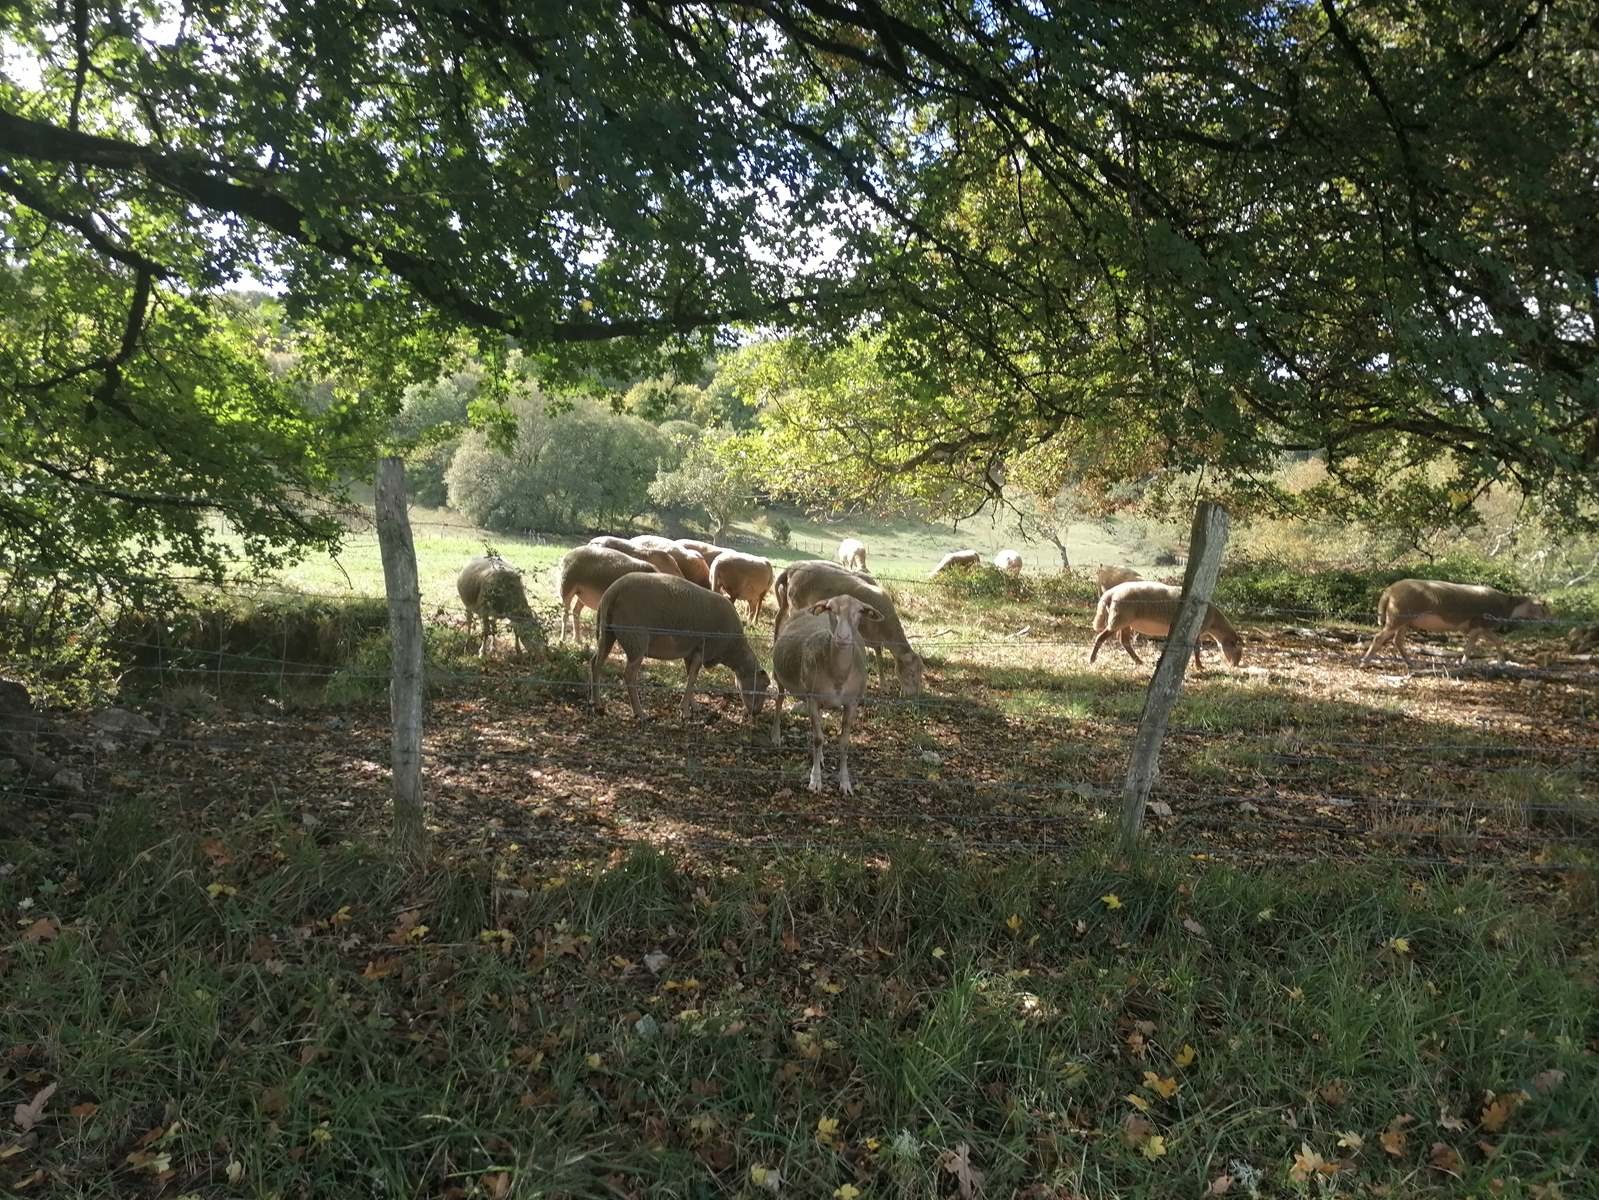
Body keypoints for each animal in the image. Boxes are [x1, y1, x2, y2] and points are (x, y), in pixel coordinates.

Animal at [591, 572, 770, 723]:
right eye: (764, 685)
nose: (756, 713)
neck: (732, 649)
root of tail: (611, 592)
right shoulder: (701, 650)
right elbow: (692, 679)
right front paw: (685, 711)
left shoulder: (690, 652)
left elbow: (690, 676)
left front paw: (693, 706)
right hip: (636, 639)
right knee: (629, 675)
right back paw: (640, 713)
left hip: (609, 633)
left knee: (596, 663)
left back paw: (596, 704)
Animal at [770, 595, 882, 800]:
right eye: (831, 609)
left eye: (860, 611)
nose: (843, 637)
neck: (838, 676)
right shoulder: (812, 698)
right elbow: (818, 739)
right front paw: (815, 781)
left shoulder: (852, 703)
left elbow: (844, 742)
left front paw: (845, 784)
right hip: (779, 675)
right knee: (779, 700)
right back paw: (775, 736)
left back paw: (820, 757)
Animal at [773, 563, 927, 694]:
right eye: (911, 673)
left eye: (921, 673)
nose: (916, 696)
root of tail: (793, 570)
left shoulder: (875, 639)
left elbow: (879, 658)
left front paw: (883, 685)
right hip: (796, 606)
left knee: (779, 619)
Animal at [1093, 579, 1240, 672]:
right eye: (1238, 649)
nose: (1236, 665)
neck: (1214, 622)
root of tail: (1110, 593)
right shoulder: (1197, 630)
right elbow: (1197, 648)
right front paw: (1200, 667)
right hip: (1118, 618)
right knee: (1101, 637)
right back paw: (1092, 659)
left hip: (1125, 622)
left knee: (1124, 641)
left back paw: (1139, 661)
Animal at [1355, 579, 1554, 668]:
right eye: (1543, 608)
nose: (1550, 621)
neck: (1508, 607)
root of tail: (1389, 590)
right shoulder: (1480, 624)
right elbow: (1472, 645)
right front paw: (1464, 662)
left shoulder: (1480, 627)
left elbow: (1497, 641)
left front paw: (1501, 663)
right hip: (1397, 617)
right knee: (1379, 637)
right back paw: (1364, 662)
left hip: (1404, 620)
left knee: (1398, 641)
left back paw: (1411, 663)